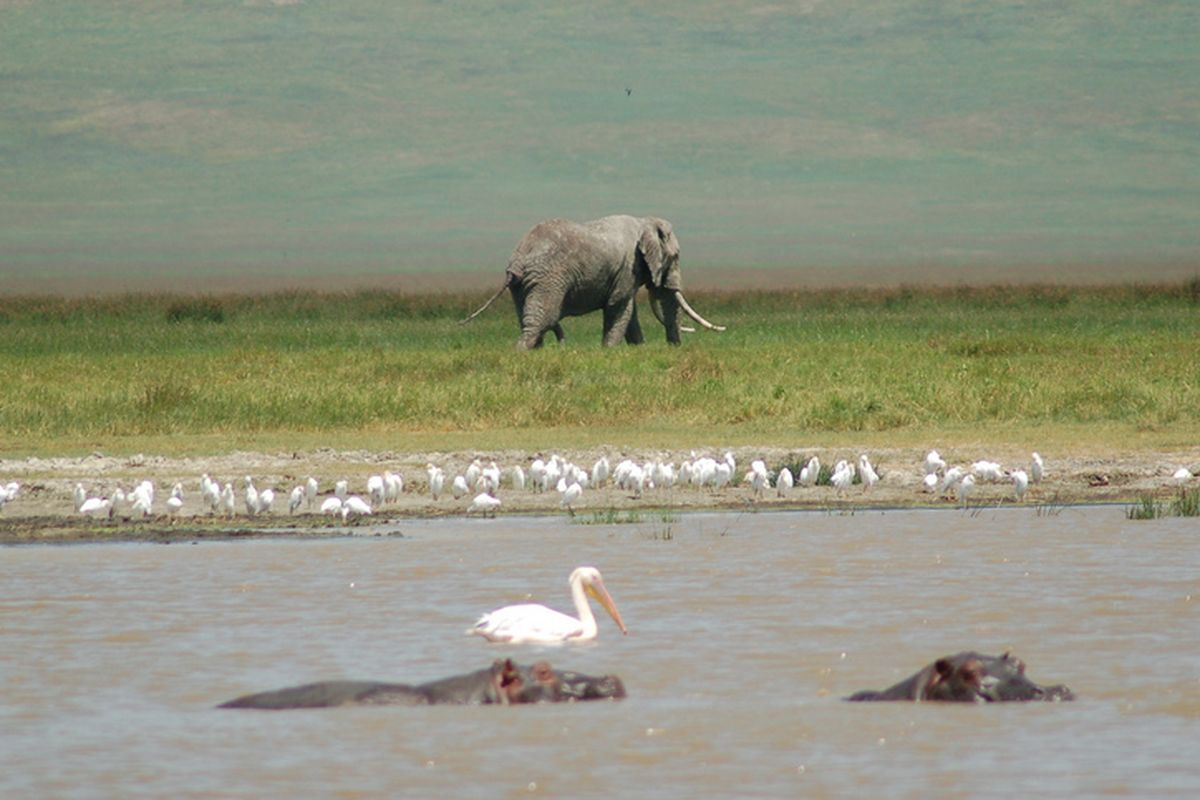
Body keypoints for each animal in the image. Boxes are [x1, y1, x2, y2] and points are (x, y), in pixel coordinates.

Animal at [458, 214, 720, 347]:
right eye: (675, 257)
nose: (674, 348)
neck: (644, 221)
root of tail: (519, 257)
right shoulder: (628, 266)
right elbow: (619, 308)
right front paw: (610, 351)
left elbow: (629, 311)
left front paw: (638, 349)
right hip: (549, 279)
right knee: (542, 319)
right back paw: (524, 351)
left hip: (522, 285)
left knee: (529, 317)